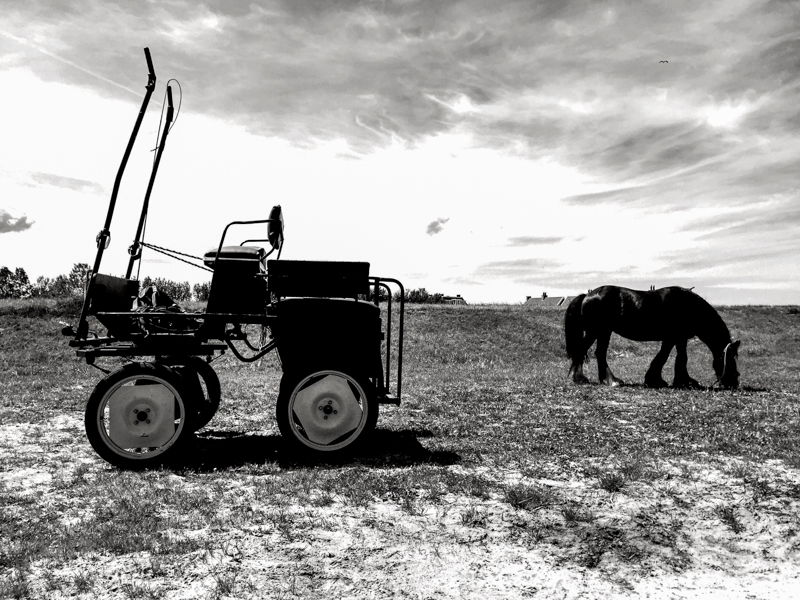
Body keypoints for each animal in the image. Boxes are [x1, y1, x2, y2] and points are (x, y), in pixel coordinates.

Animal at [564, 286, 740, 390]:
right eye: (730, 359)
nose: (734, 383)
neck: (688, 306)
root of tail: (587, 295)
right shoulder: (674, 337)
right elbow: (671, 357)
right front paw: (671, 381)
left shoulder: (677, 339)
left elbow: (675, 357)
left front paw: (675, 380)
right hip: (596, 331)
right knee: (583, 350)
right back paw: (580, 378)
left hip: (604, 332)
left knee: (599, 353)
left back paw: (608, 380)